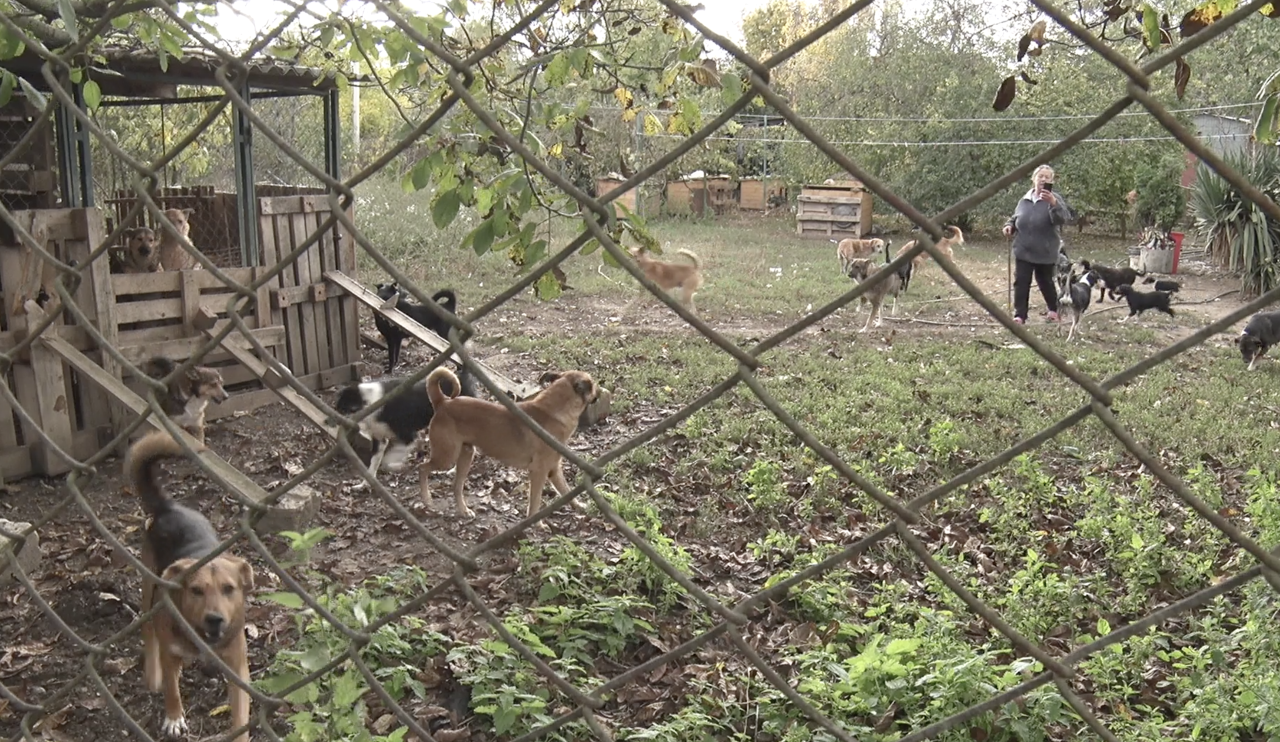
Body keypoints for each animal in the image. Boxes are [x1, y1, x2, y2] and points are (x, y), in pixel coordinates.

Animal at [127, 432, 254, 742]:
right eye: (196, 590)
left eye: (229, 589)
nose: (215, 619)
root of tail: (168, 507)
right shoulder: (170, 650)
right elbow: (172, 689)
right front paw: (174, 718)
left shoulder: (237, 667)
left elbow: (240, 715)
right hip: (149, 583)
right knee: (148, 629)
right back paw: (154, 675)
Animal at [330, 368, 476, 481]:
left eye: (343, 410)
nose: (329, 420)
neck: (369, 403)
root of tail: (462, 375)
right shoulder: (380, 440)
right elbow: (373, 465)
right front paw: (364, 484)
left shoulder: (408, 438)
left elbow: (386, 461)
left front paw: (399, 466)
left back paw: (454, 470)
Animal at [419, 365, 599, 519]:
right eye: (592, 385)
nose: (599, 392)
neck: (554, 412)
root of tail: (443, 402)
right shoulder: (538, 471)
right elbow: (535, 501)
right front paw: (536, 524)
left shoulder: (554, 469)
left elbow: (566, 491)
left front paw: (579, 506)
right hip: (446, 457)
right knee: (422, 468)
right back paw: (427, 500)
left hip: (466, 455)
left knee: (456, 486)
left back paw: (464, 511)